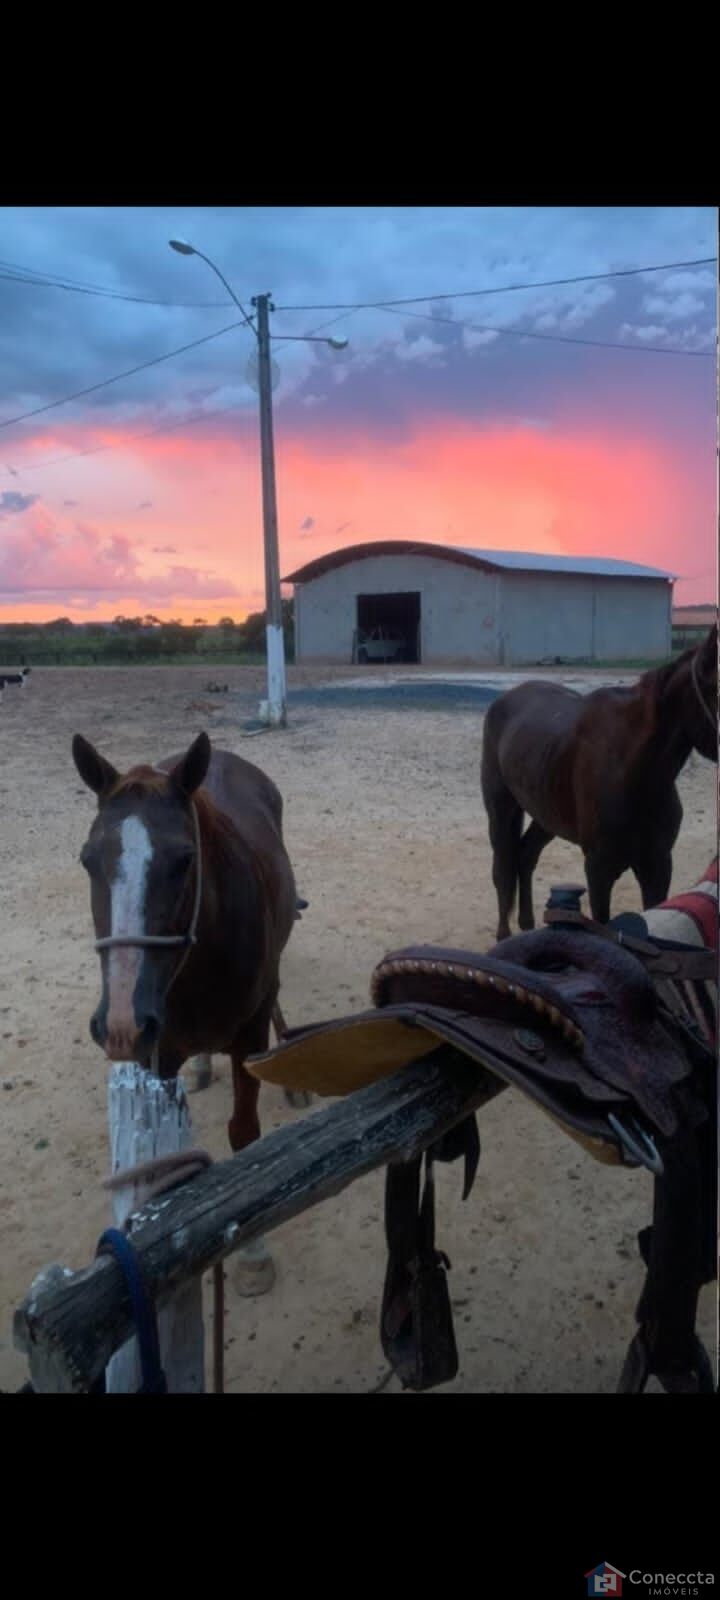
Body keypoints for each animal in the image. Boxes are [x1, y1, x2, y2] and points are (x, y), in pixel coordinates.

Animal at [71, 732, 296, 1158]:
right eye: (87, 860)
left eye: (185, 860)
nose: (122, 1025)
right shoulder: (155, 1060)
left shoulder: (249, 1040)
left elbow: (244, 1132)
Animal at [480, 620, 716, 934]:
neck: (632, 772)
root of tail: (505, 698)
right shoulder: (598, 869)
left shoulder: (657, 864)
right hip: (502, 809)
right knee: (502, 871)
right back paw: (504, 936)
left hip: (547, 813)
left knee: (526, 856)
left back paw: (528, 925)